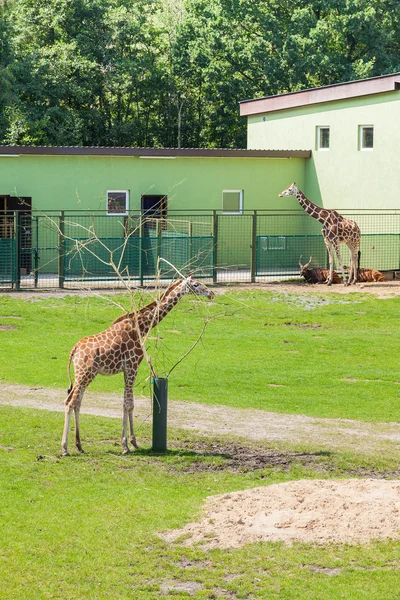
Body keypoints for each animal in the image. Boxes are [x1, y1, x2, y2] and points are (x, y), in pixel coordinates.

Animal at [60, 276, 214, 454]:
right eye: (196, 285)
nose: (211, 294)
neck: (141, 326)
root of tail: (74, 350)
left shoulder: (128, 369)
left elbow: (130, 404)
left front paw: (133, 442)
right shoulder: (132, 365)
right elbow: (128, 404)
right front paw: (125, 445)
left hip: (85, 376)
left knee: (76, 402)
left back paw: (79, 445)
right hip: (85, 373)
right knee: (70, 402)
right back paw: (65, 448)